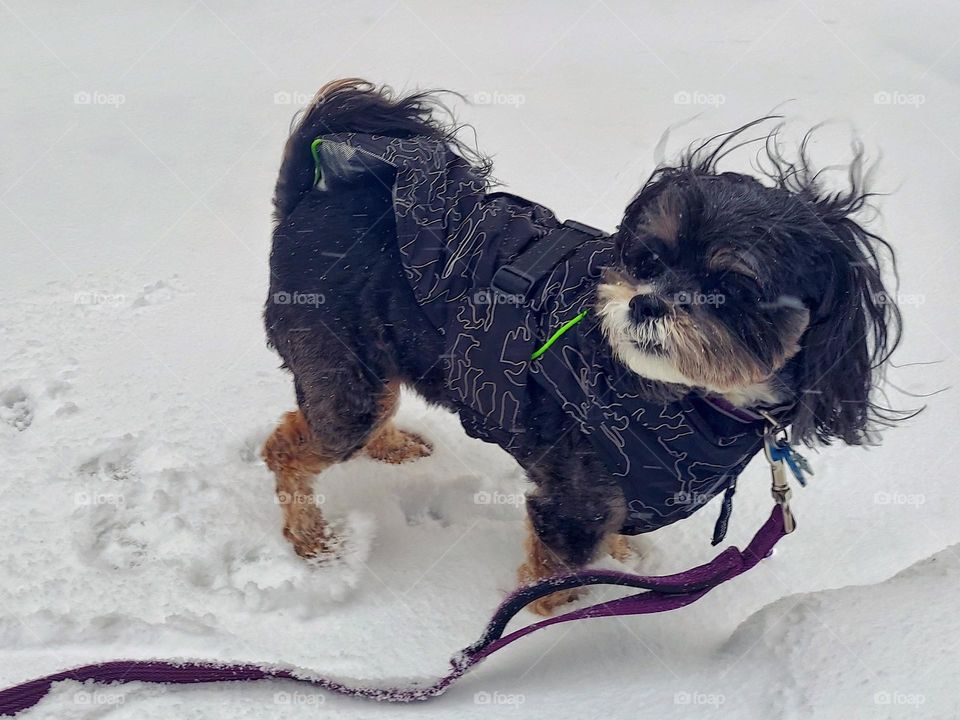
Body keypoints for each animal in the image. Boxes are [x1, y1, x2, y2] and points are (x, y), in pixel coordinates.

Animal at [260, 80, 900, 620]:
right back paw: (313, 538)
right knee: (285, 448)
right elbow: (551, 592)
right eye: (649, 260)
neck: (693, 402)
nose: (645, 304)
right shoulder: (571, 507)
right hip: (345, 381)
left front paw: (623, 561)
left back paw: (391, 445)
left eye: (735, 288)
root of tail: (307, 202)